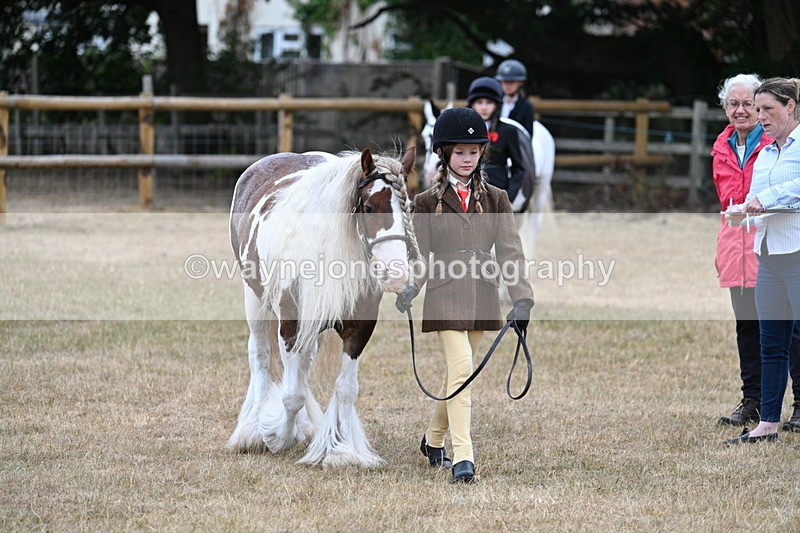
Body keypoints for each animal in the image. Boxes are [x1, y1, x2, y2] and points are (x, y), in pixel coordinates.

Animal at [226, 147, 419, 468]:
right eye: (369, 207)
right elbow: (291, 395)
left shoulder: (359, 329)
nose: (398, 275)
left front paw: (339, 449)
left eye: (411, 208)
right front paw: (277, 438)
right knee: (260, 357)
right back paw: (252, 429)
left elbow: (346, 389)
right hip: (254, 301)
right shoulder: (291, 327)